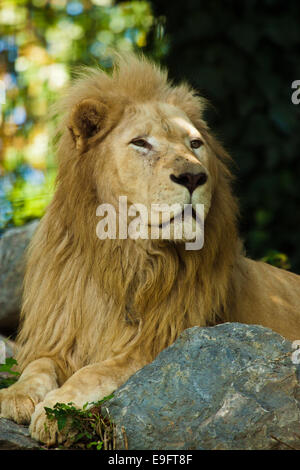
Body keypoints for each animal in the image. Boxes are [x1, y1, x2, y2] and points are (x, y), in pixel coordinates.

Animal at [0, 53, 300, 446]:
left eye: (195, 144)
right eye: (141, 143)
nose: (193, 177)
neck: (124, 255)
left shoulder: (164, 341)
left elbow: (96, 372)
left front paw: (56, 411)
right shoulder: (59, 334)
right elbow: (37, 365)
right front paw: (17, 395)